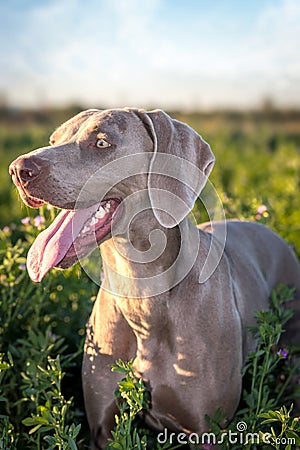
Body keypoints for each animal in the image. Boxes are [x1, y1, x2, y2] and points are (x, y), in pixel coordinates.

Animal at [9, 109, 300, 450]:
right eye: (54, 140)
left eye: (102, 142)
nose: (18, 170)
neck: (140, 295)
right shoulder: (103, 428)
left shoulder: (207, 429)